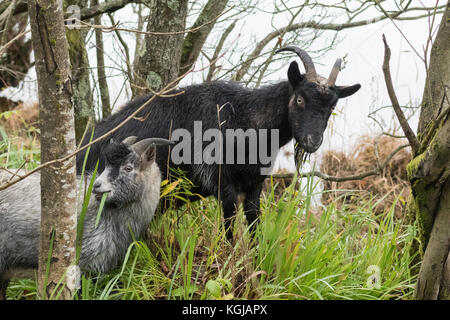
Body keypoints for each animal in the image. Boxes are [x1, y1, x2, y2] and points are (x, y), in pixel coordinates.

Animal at [75, 46, 360, 239]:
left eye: (332, 105)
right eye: (300, 99)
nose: (313, 141)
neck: (245, 118)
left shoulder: (254, 186)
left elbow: (254, 226)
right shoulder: (222, 183)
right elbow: (230, 228)